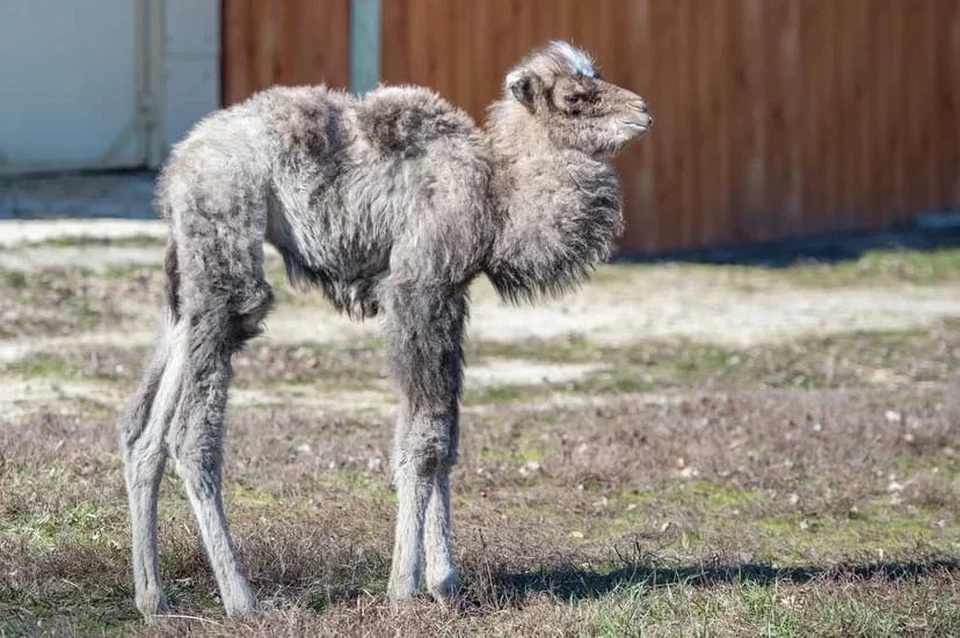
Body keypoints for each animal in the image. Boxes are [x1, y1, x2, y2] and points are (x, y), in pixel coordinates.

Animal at [118, 40, 652, 620]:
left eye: (596, 76)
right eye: (575, 97)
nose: (644, 111)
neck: (496, 197)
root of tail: (176, 169)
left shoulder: (451, 296)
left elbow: (440, 439)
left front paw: (445, 582)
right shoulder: (418, 289)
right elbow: (425, 443)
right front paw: (405, 587)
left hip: (186, 285)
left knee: (143, 427)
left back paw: (153, 598)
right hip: (227, 251)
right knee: (192, 431)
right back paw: (241, 599)